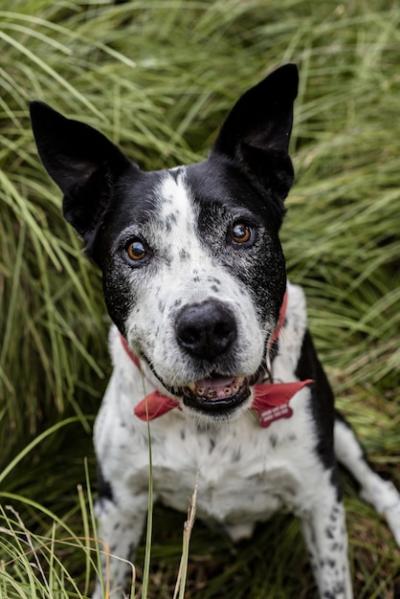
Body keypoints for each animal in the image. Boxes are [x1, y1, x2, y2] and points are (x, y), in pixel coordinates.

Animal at [30, 63, 400, 596]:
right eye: (135, 249)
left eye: (241, 231)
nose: (205, 328)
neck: (211, 425)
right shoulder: (118, 503)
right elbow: (110, 579)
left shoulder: (319, 498)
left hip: (339, 432)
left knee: (376, 481)